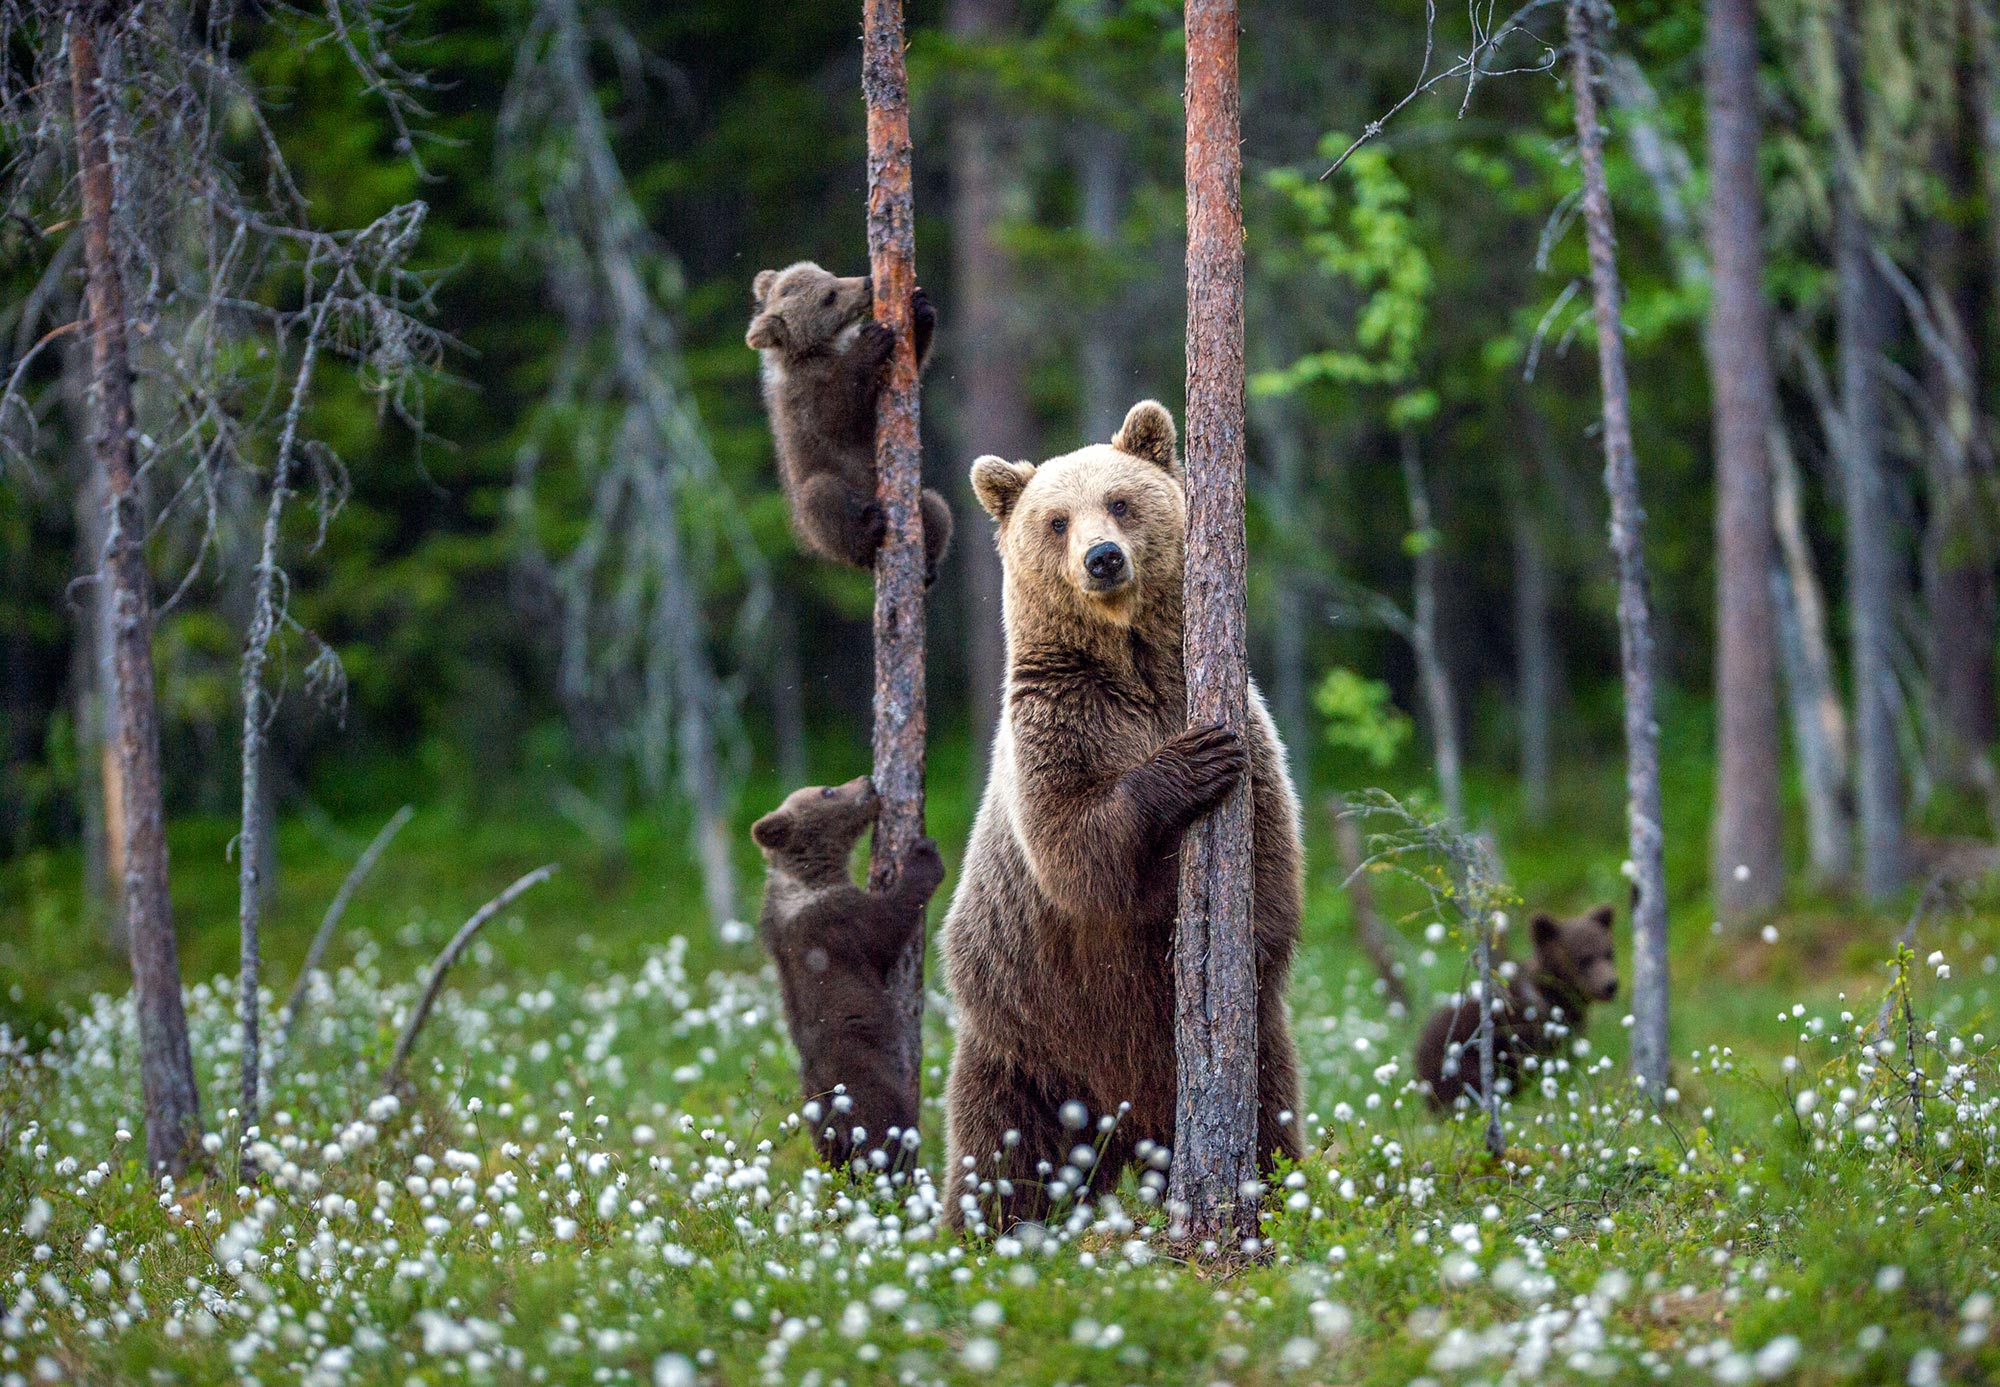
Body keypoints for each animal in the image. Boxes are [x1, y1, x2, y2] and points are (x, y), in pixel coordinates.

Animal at [744, 259, 952, 579]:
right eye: (828, 297)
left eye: (830, 275)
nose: (867, 282)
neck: (820, 349)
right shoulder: (805, 396)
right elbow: (836, 415)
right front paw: (873, 340)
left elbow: (911, 363)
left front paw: (920, 308)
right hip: (817, 505)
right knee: (822, 498)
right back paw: (868, 532)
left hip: (920, 502)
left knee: (936, 506)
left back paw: (928, 565)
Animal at [752, 783, 948, 1175]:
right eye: (827, 791)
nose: (869, 782)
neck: (809, 878)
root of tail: (833, 1114)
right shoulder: (838, 922)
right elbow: (888, 925)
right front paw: (924, 854)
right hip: (868, 1086)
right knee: (888, 1136)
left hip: (816, 1122)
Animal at [940, 401, 1304, 1239]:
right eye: (1055, 519)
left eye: (1121, 500)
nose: (1103, 557)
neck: (1132, 662)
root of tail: (1125, 1128)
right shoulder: (1059, 725)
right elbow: (1077, 849)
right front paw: (1189, 763)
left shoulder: (1245, 721)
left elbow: (1271, 857)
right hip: (1026, 1035)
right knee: (1000, 1149)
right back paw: (978, 1231)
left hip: (1248, 1050)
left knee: (1270, 1114)